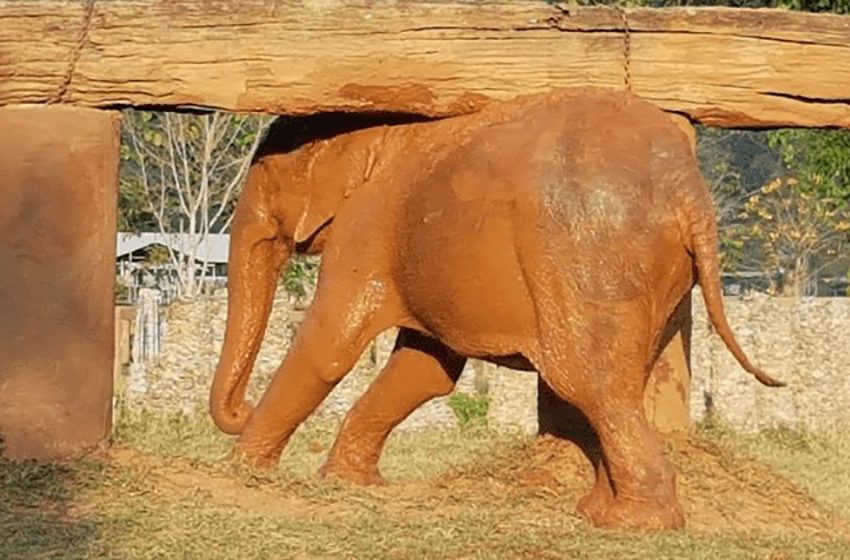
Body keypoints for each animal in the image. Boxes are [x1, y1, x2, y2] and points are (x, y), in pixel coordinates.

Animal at [207, 86, 780, 528]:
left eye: (264, 180)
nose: (241, 408)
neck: (379, 129)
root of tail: (687, 190)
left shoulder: (366, 229)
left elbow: (328, 345)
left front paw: (242, 473)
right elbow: (423, 371)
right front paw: (349, 482)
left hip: (590, 255)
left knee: (591, 384)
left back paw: (630, 523)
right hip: (655, 273)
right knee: (617, 386)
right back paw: (596, 509)